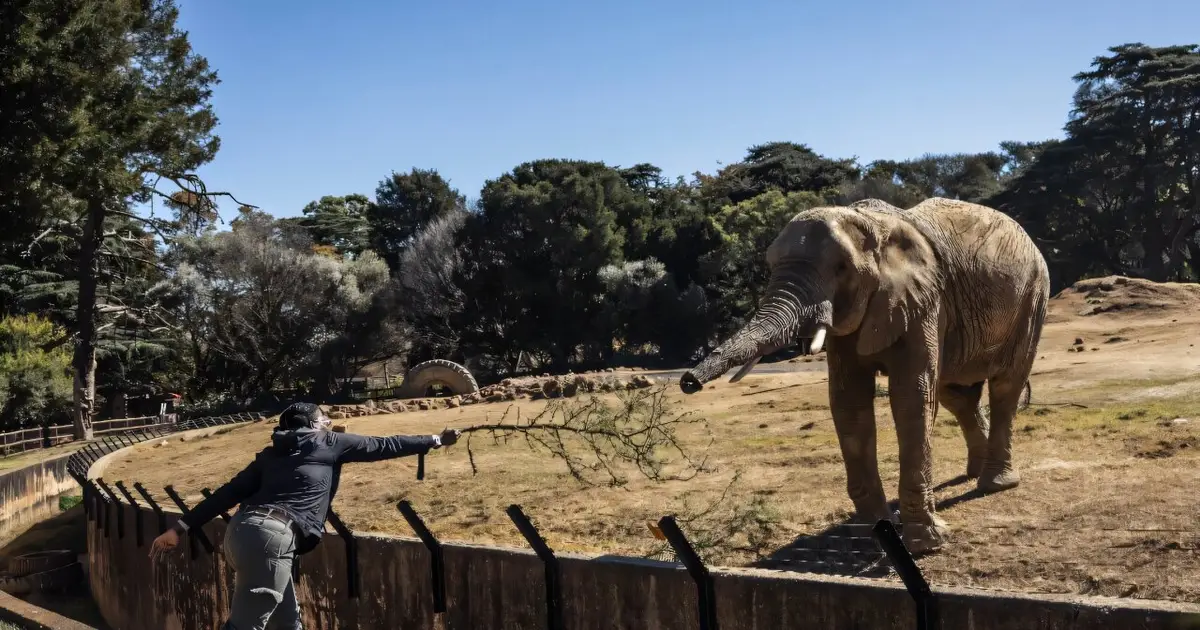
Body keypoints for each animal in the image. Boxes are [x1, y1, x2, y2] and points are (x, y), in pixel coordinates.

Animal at [678, 197, 1050, 552]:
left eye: (841, 268)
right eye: (771, 267)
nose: (688, 381)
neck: (872, 225)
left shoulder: (924, 300)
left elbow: (912, 398)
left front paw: (928, 544)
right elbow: (849, 402)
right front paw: (877, 532)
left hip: (1033, 299)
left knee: (1005, 386)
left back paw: (995, 483)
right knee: (956, 395)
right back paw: (973, 472)